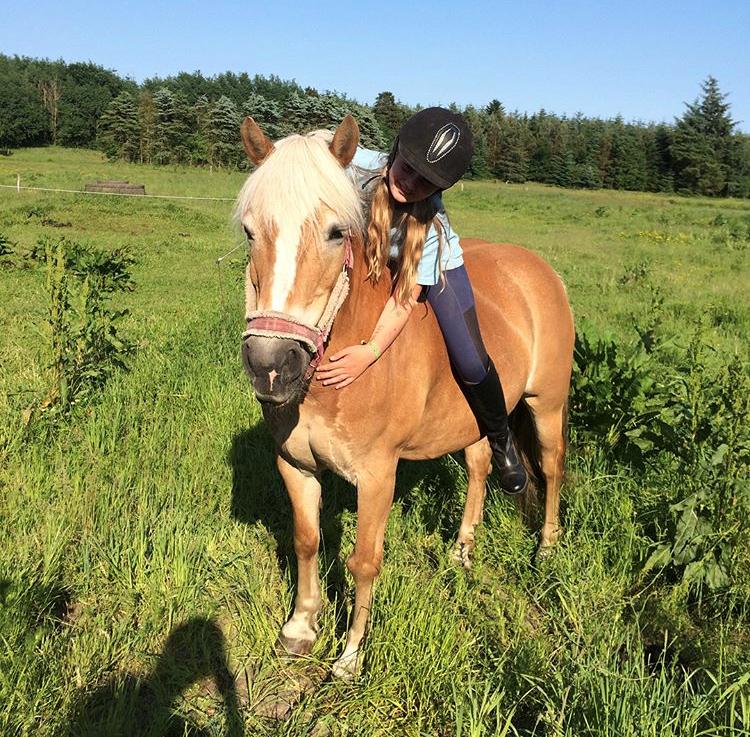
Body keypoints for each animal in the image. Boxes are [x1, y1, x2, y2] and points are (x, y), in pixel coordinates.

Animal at [236, 115, 576, 680]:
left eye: (336, 233)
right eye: (249, 230)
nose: (270, 364)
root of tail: (540, 270)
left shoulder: (378, 476)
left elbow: (364, 561)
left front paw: (350, 657)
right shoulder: (295, 464)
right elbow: (306, 541)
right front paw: (301, 628)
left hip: (545, 404)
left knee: (549, 467)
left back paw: (547, 548)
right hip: (471, 421)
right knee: (479, 466)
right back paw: (462, 550)